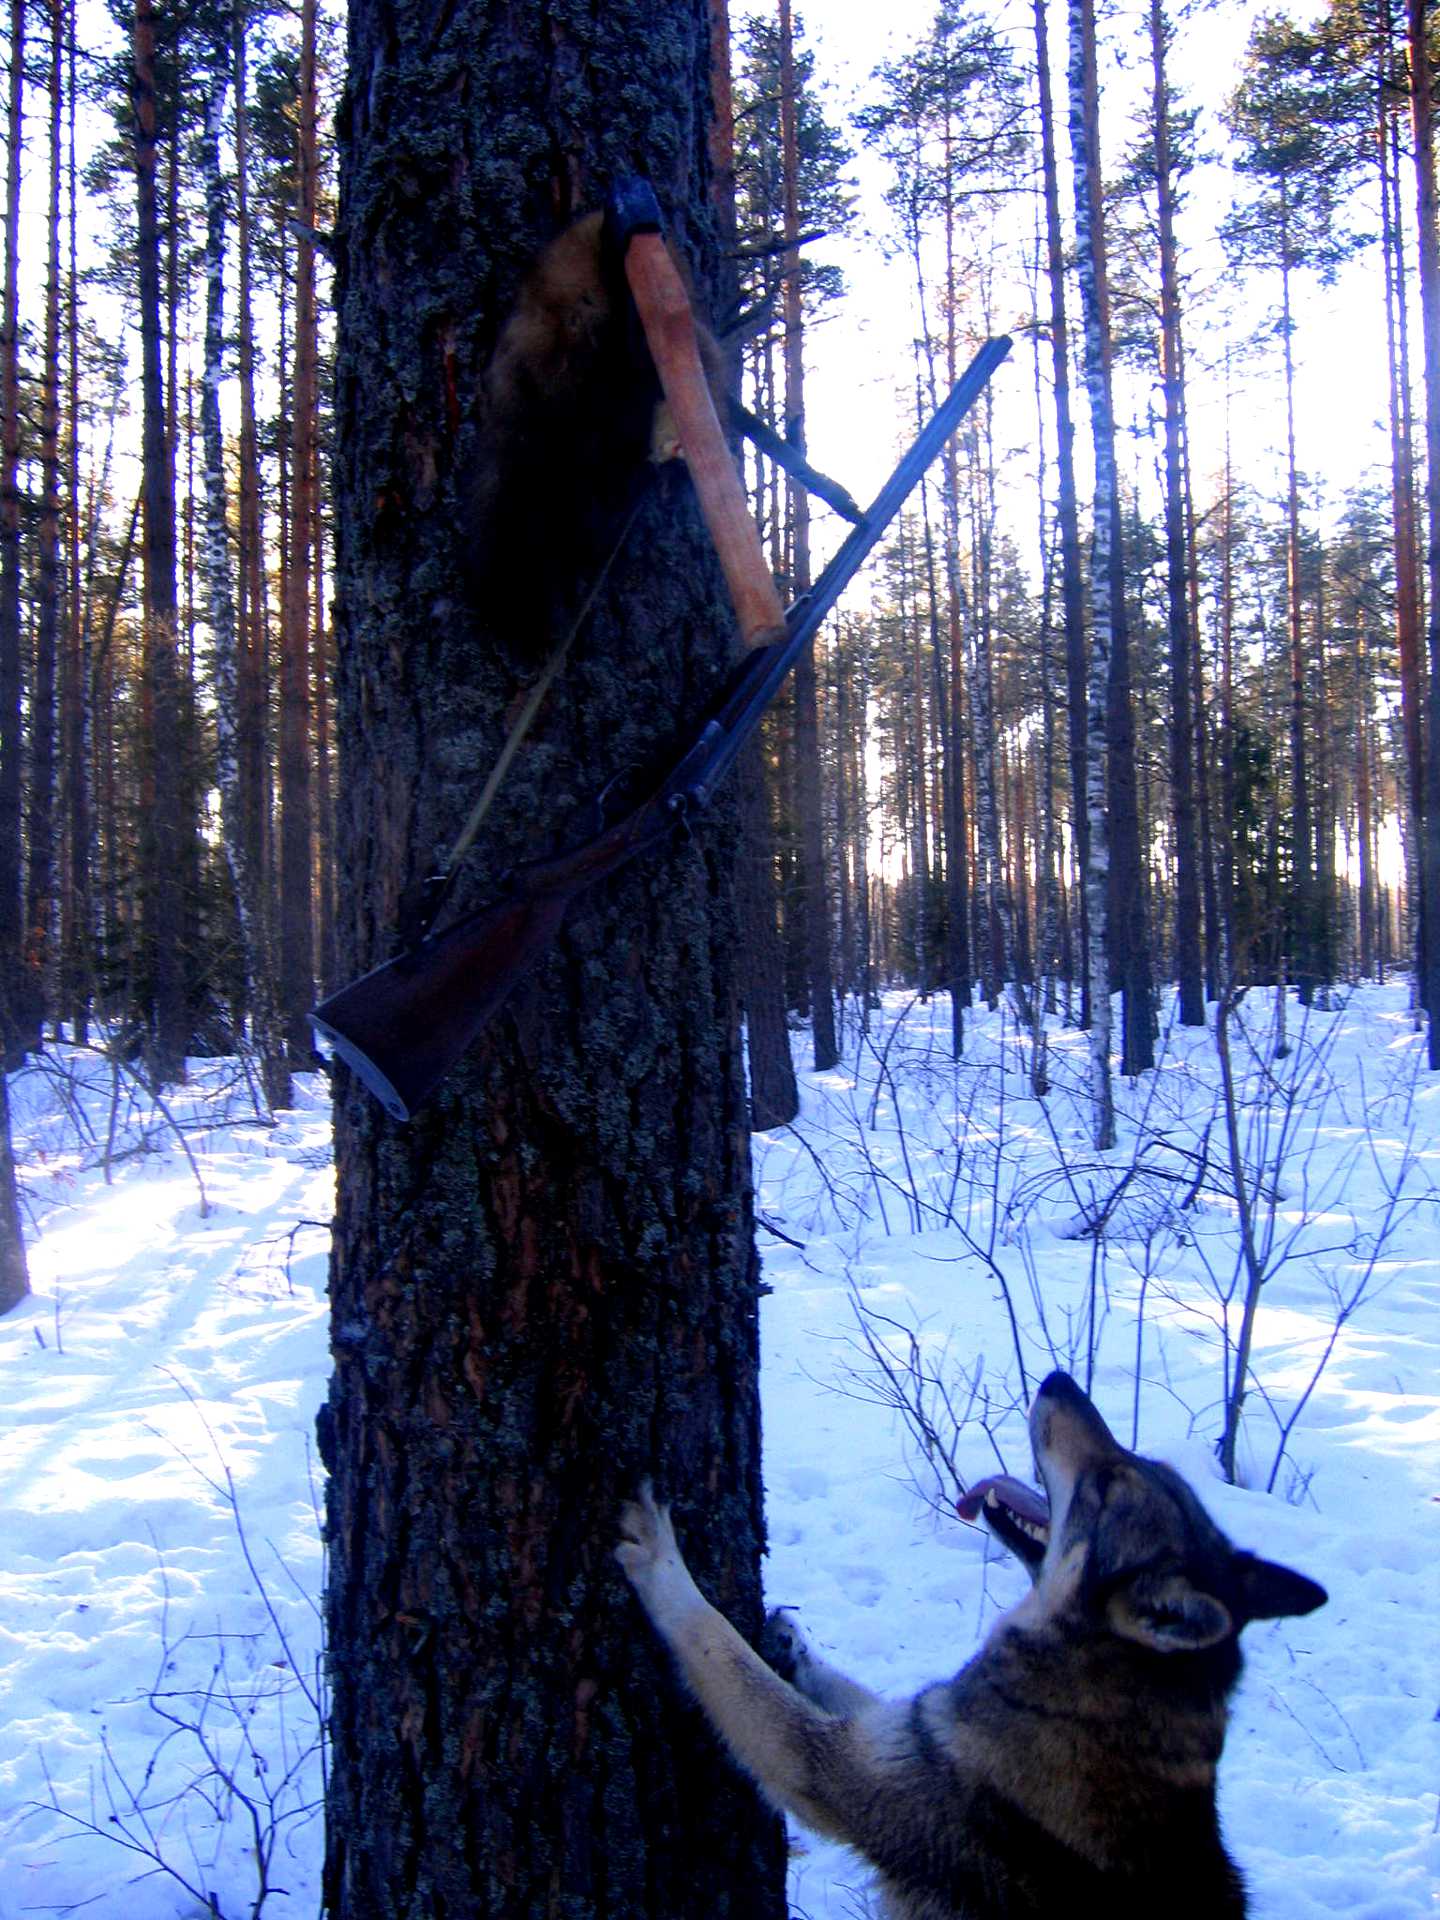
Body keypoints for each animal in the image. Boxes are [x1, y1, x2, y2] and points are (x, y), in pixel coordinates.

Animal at [614, 1374, 1328, 1912]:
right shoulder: (908, 1726)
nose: (1058, 1378)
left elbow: (711, 1638)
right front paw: (789, 1644)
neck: (1088, 1693)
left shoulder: (827, 1770)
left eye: (1105, 1485)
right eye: (1144, 1464)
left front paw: (661, 1562)